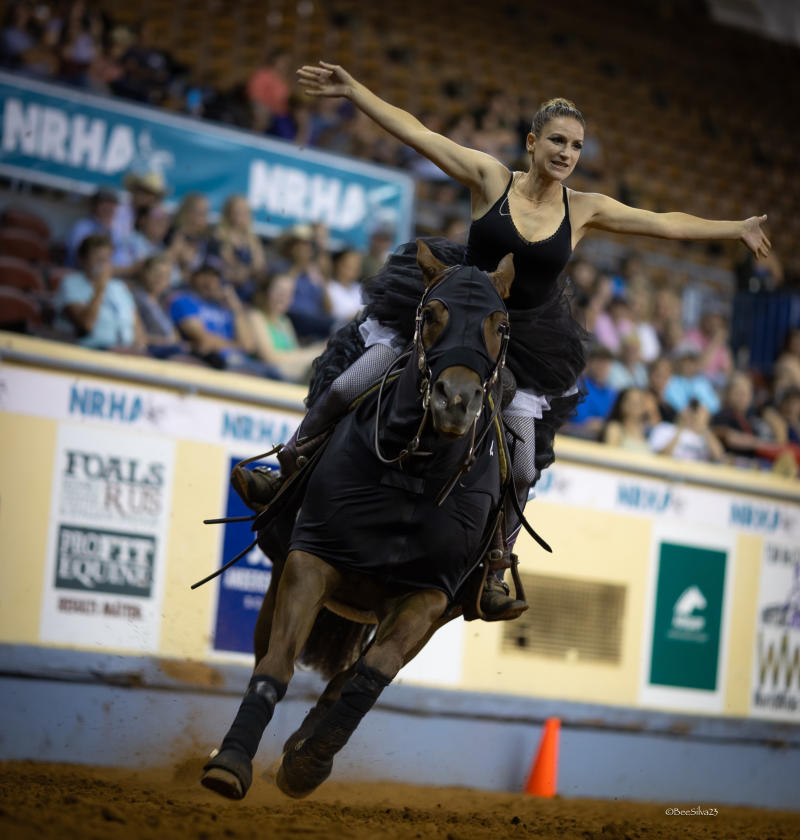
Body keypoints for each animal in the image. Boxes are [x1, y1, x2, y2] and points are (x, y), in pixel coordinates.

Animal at [197, 241, 516, 800]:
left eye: (500, 325)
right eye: (432, 314)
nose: (456, 400)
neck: (412, 477)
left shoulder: (429, 594)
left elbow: (370, 676)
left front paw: (309, 763)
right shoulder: (310, 560)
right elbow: (276, 663)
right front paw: (232, 761)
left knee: (350, 674)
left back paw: (303, 743)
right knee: (266, 649)